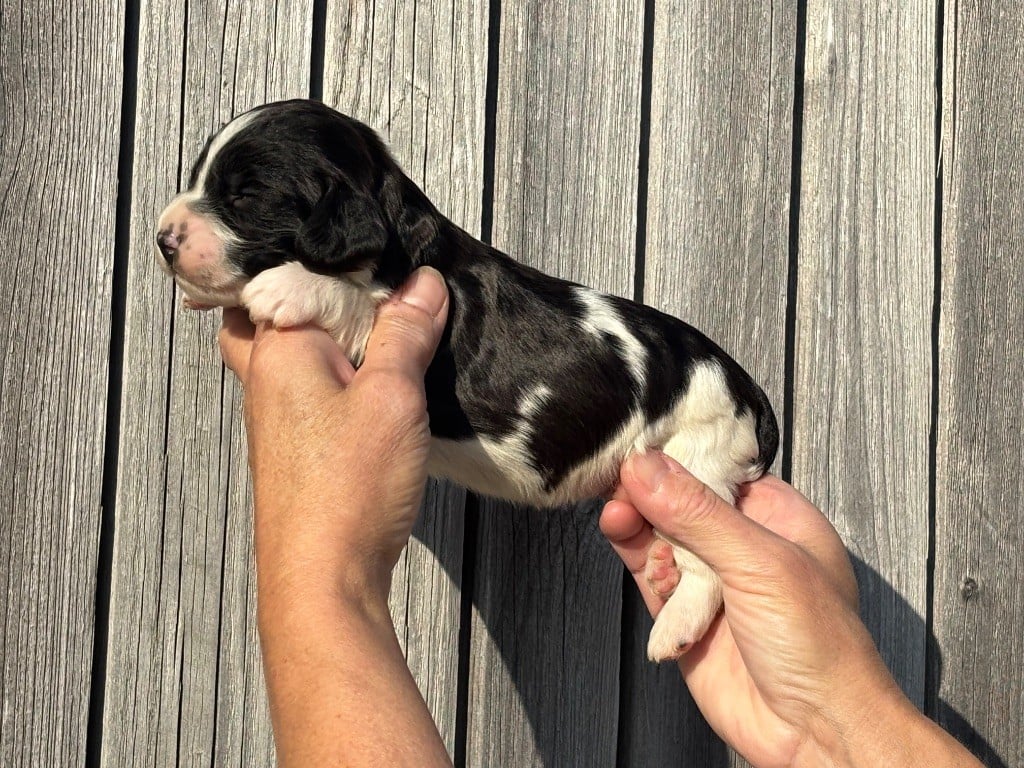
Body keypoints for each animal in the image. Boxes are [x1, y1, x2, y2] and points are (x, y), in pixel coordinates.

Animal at [153, 97, 774, 663]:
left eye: (244, 197)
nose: (162, 237)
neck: (394, 239)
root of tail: (745, 386)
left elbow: (353, 302)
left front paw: (288, 286)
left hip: (698, 459)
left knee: (708, 572)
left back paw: (673, 632)